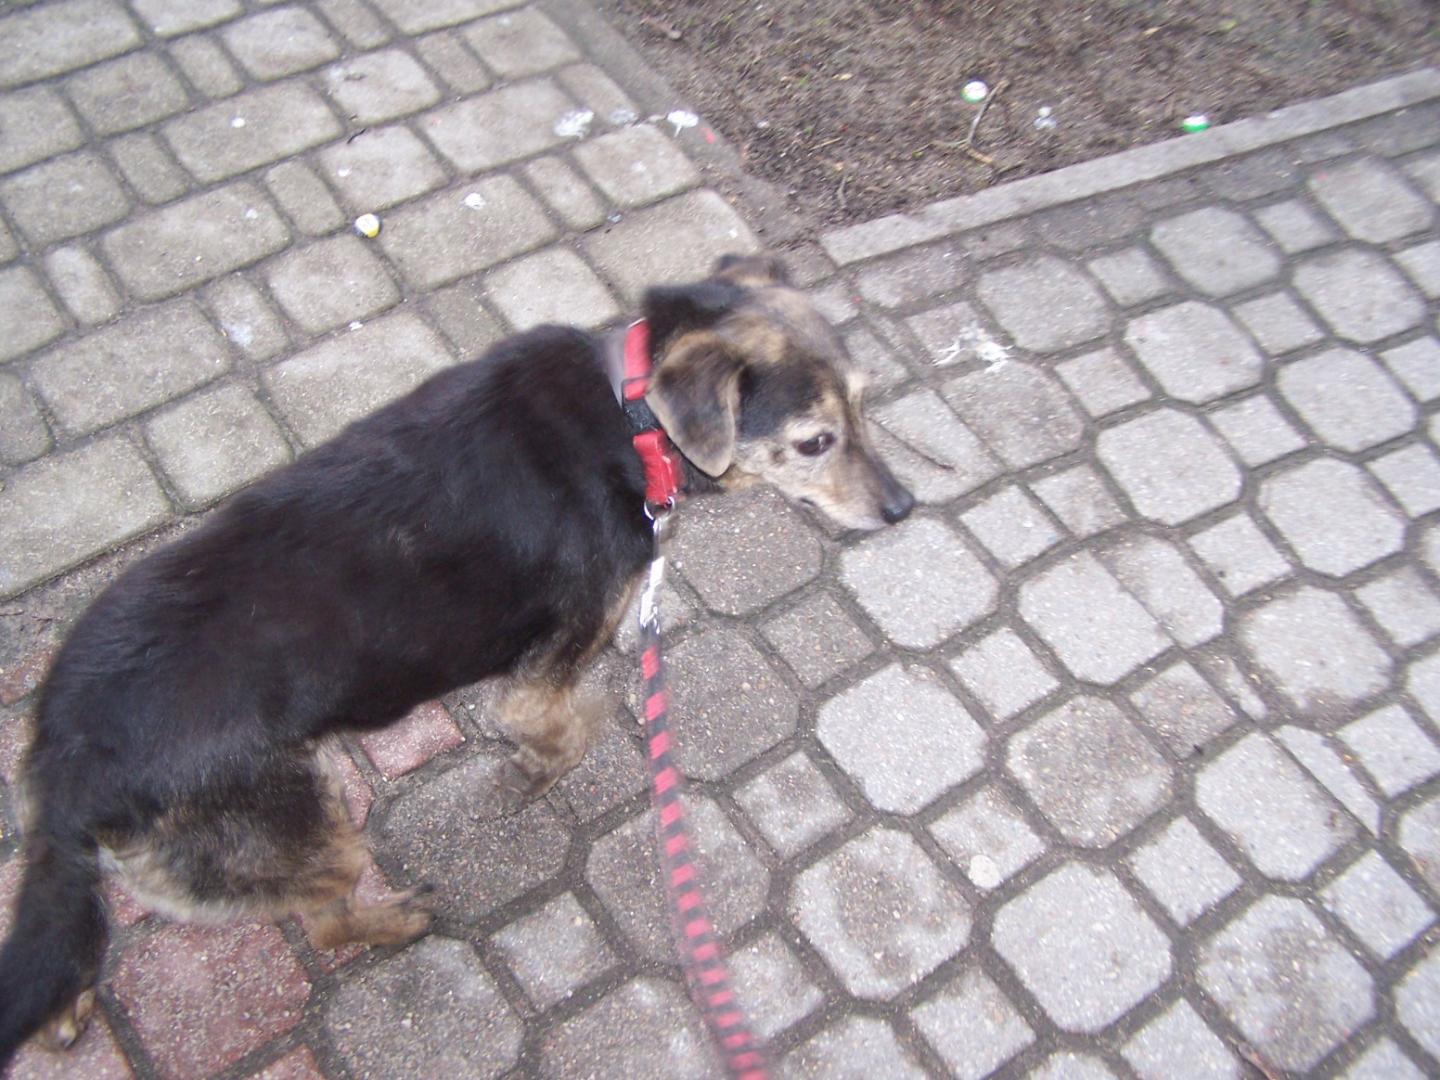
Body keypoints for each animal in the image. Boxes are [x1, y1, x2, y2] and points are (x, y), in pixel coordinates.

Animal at [0, 253, 914, 1065]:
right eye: (816, 441)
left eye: (868, 405)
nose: (906, 507)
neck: (631, 418)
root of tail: (65, 770)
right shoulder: (541, 677)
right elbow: (576, 723)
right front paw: (533, 773)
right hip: (315, 830)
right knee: (326, 921)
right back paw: (395, 921)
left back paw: (66, 1006)